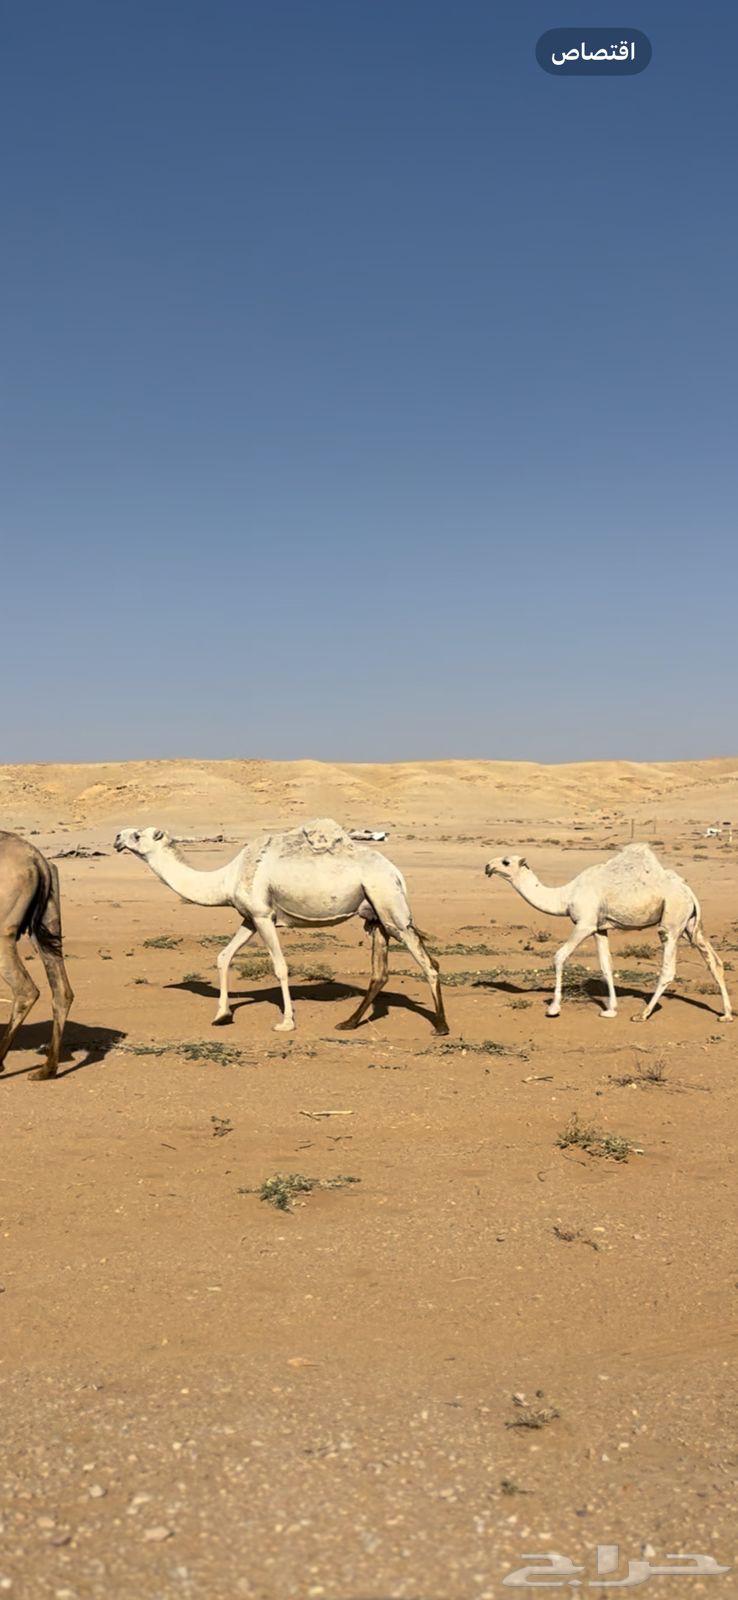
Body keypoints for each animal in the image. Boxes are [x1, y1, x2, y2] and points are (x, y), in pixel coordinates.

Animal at [114, 818, 448, 1035]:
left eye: (138, 836)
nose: (117, 837)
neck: (226, 877)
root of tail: (397, 873)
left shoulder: (264, 916)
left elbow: (280, 967)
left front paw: (286, 1022)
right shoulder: (249, 917)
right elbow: (223, 956)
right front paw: (221, 1015)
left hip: (390, 906)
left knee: (428, 962)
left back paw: (441, 1026)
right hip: (374, 913)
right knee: (380, 972)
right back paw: (348, 1023)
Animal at [485, 842, 732, 1022]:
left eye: (506, 861)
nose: (487, 866)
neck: (566, 895)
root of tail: (687, 890)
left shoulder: (584, 923)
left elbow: (559, 956)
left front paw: (554, 1008)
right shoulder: (599, 928)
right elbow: (606, 965)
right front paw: (610, 1010)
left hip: (672, 920)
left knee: (668, 967)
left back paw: (642, 1014)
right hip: (690, 925)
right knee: (714, 962)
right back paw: (726, 1015)